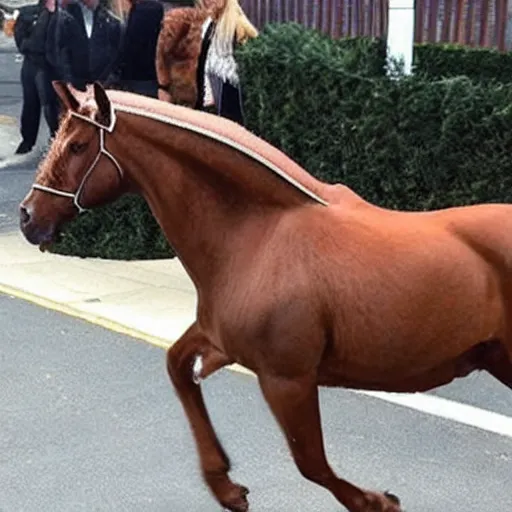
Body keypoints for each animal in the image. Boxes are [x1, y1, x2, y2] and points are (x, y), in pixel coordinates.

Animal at [18, 82, 512, 510]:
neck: (258, 234)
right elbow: (178, 368)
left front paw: (379, 501)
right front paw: (226, 487)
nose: (27, 217)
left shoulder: (286, 379)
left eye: (78, 145)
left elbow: (311, 463)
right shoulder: (218, 341)